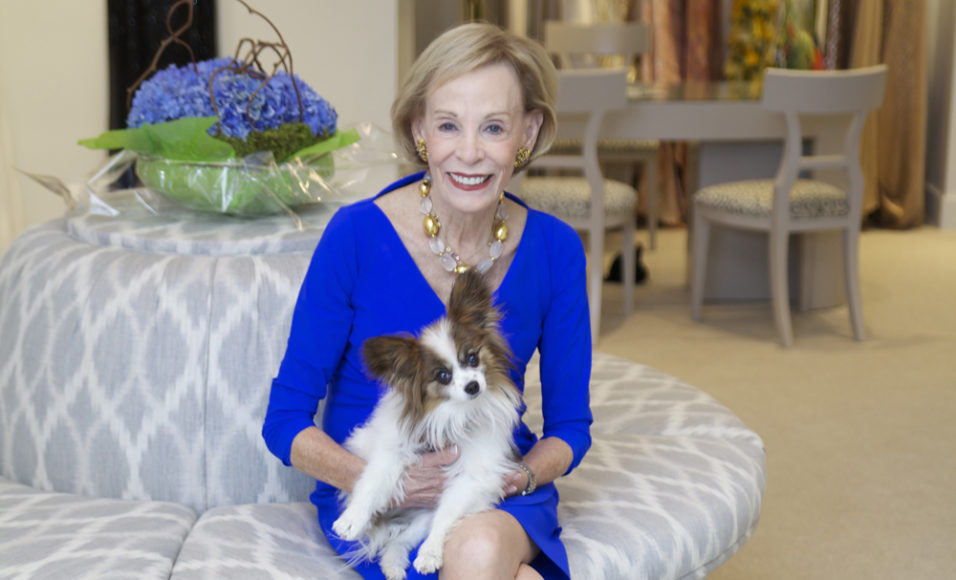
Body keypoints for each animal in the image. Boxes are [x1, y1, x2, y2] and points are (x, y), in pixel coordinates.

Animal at [330, 270, 524, 580]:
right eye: (442, 375)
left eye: (473, 358)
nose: (472, 386)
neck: (453, 414)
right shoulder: (392, 450)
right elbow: (372, 483)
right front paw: (351, 519)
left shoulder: (474, 476)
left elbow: (446, 514)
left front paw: (430, 553)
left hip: (422, 516)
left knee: (400, 539)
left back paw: (394, 564)